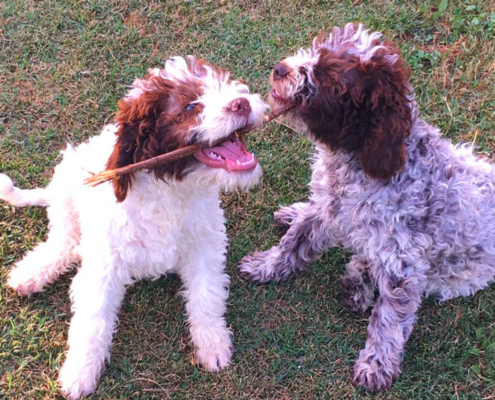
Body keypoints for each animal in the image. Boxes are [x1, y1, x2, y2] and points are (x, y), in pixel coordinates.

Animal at [0, 57, 268, 400]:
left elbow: (206, 295)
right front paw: (80, 372)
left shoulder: (204, 247)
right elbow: (93, 320)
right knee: (65, 239)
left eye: (229, 85)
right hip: (66, 185)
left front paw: (212, 343)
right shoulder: (104, 266)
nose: (242, 103)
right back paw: (33, 272)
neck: (169, 188)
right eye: (190, 106)